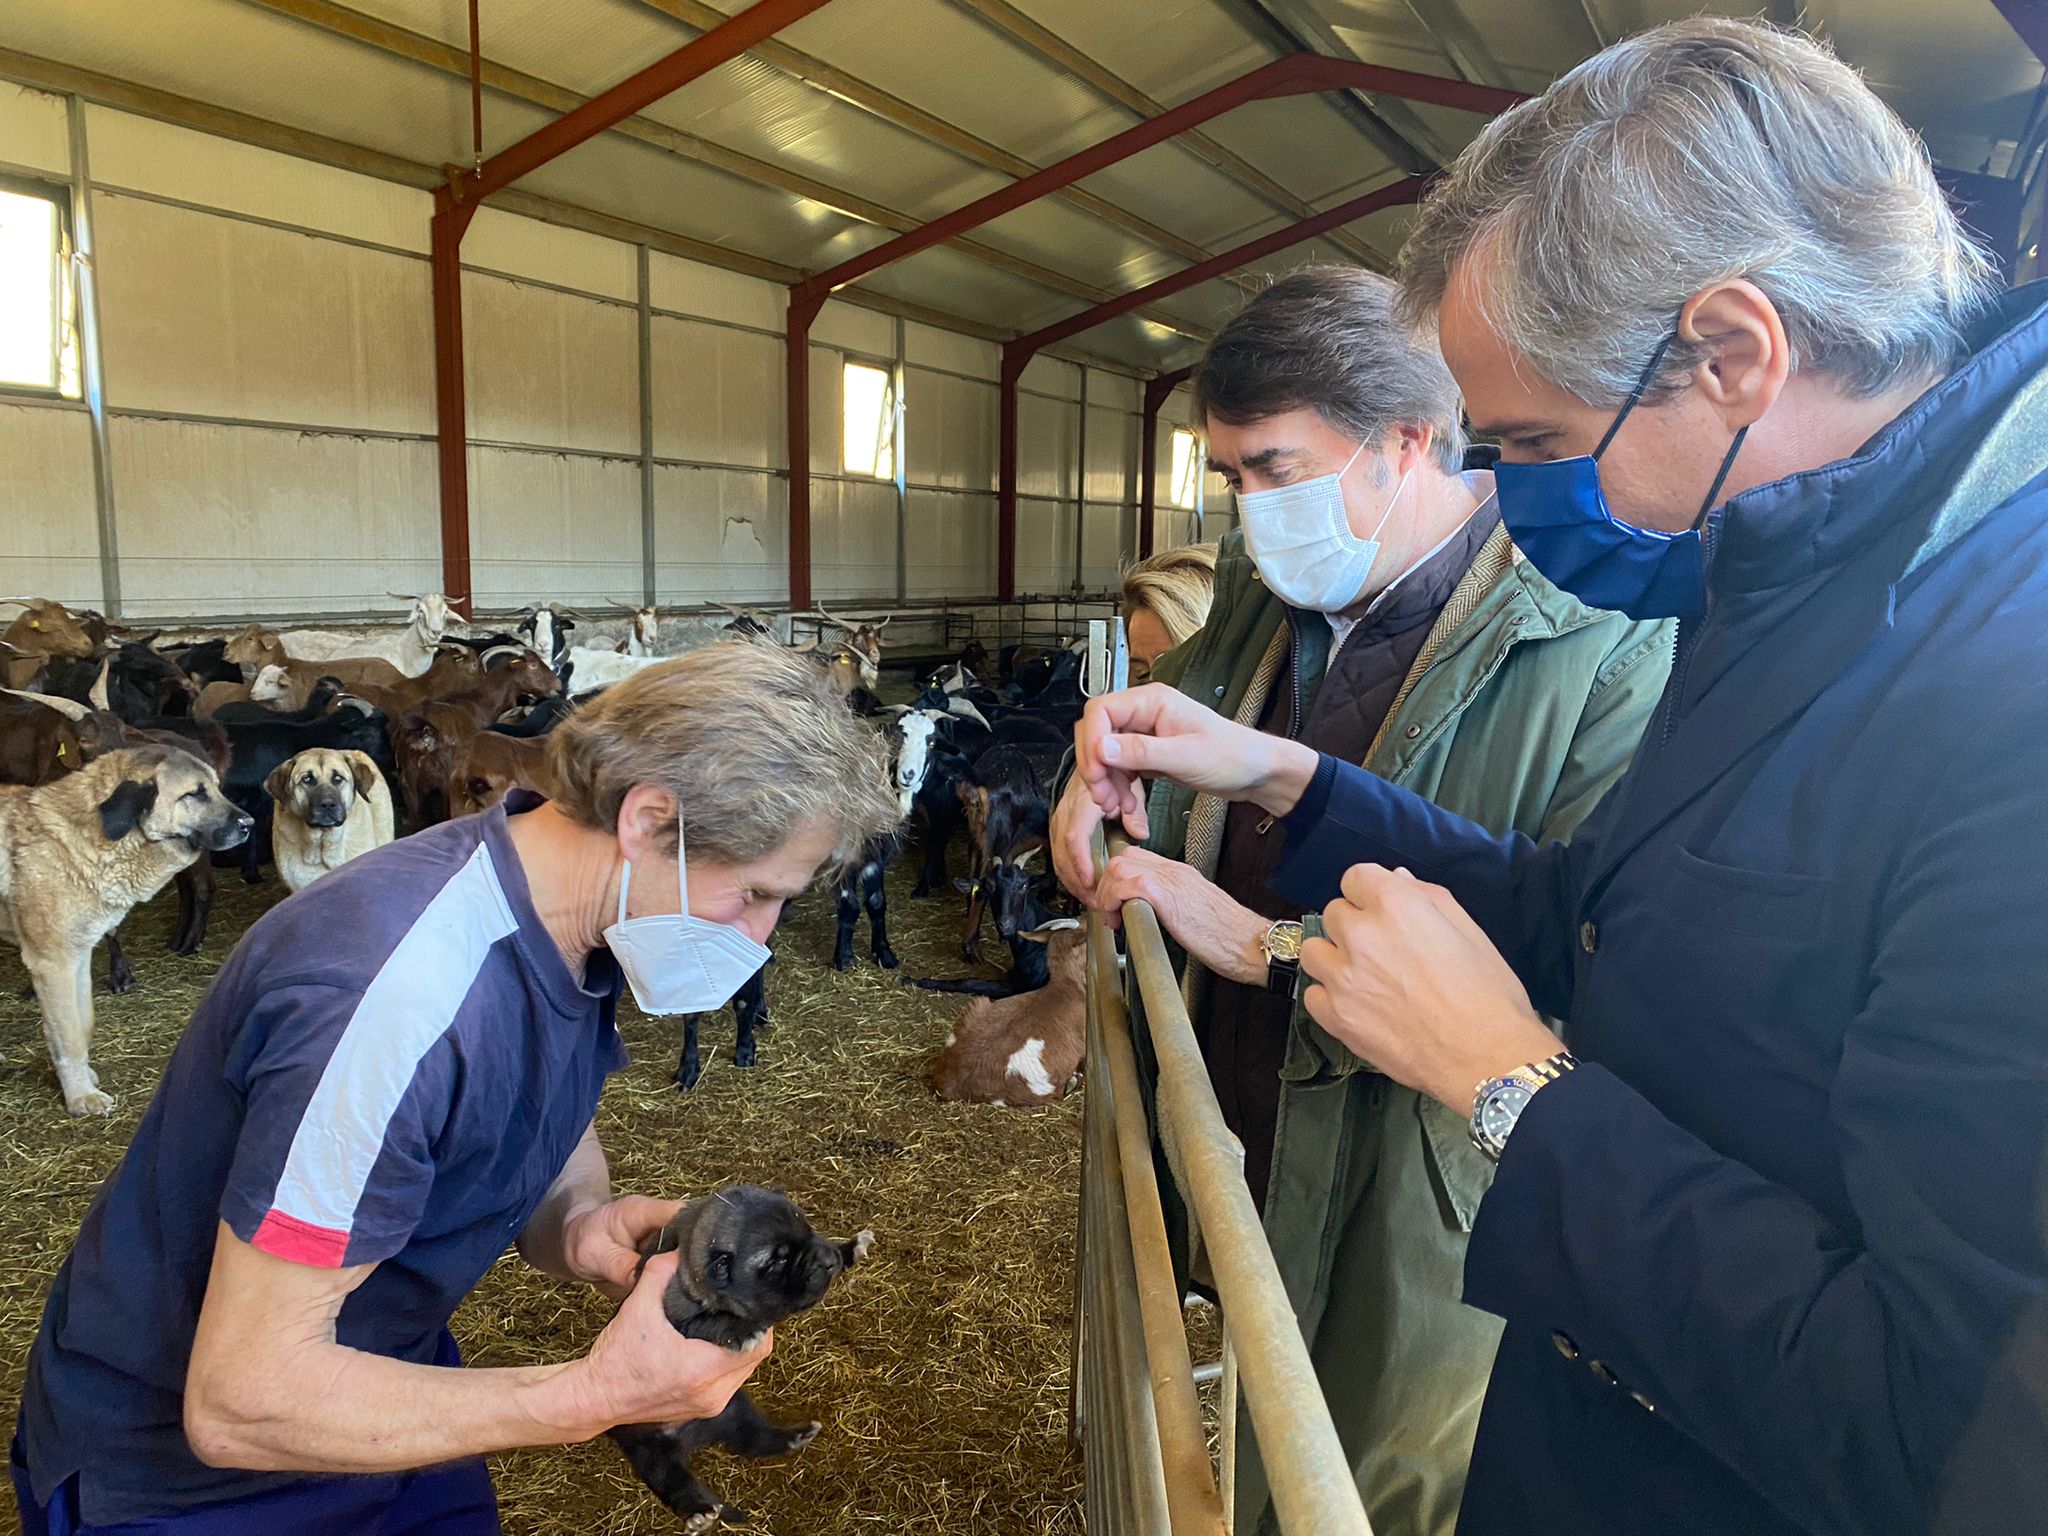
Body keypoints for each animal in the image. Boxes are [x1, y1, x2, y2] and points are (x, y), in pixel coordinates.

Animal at [602, 1187, 868, 1531]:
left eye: (809, 1229)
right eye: (779, 1259)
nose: (827, 1260)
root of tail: (692, 1433)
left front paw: (849, 1248)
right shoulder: (676, 1316)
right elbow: (708, 1322)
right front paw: (742, 1331)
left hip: (736, 1408)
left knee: (753, 1438)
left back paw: (795, 1437)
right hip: (648, 1447)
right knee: (671, 1479)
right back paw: (699, 1512)